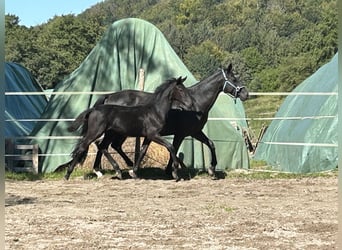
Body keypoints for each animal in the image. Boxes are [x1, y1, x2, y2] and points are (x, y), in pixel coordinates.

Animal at [63, 76, 192, 180]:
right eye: (181, 90)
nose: (190, 105)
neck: (155, 111)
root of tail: (94, 109)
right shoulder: (154, 134)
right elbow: (171, 147)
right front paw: (175, 172)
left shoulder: (148, 136)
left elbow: (142, 151)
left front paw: (133, 172)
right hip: (96, 132)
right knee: (84, 147)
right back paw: (68, 174)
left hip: (110, 133)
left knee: (103, 147)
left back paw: (118, 171)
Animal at [88, 63, 248, 179]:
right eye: (234, 79)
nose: (245, 94)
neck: (196, 103)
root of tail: (108, 96)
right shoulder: (181, 133)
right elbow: (173, 148)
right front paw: (172, 170)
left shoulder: (195, 132)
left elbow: (211, 144)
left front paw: (211, 169)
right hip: (117, 132)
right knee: (104, 145)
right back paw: (104, 170)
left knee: (109, 145)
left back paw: (109, 168)